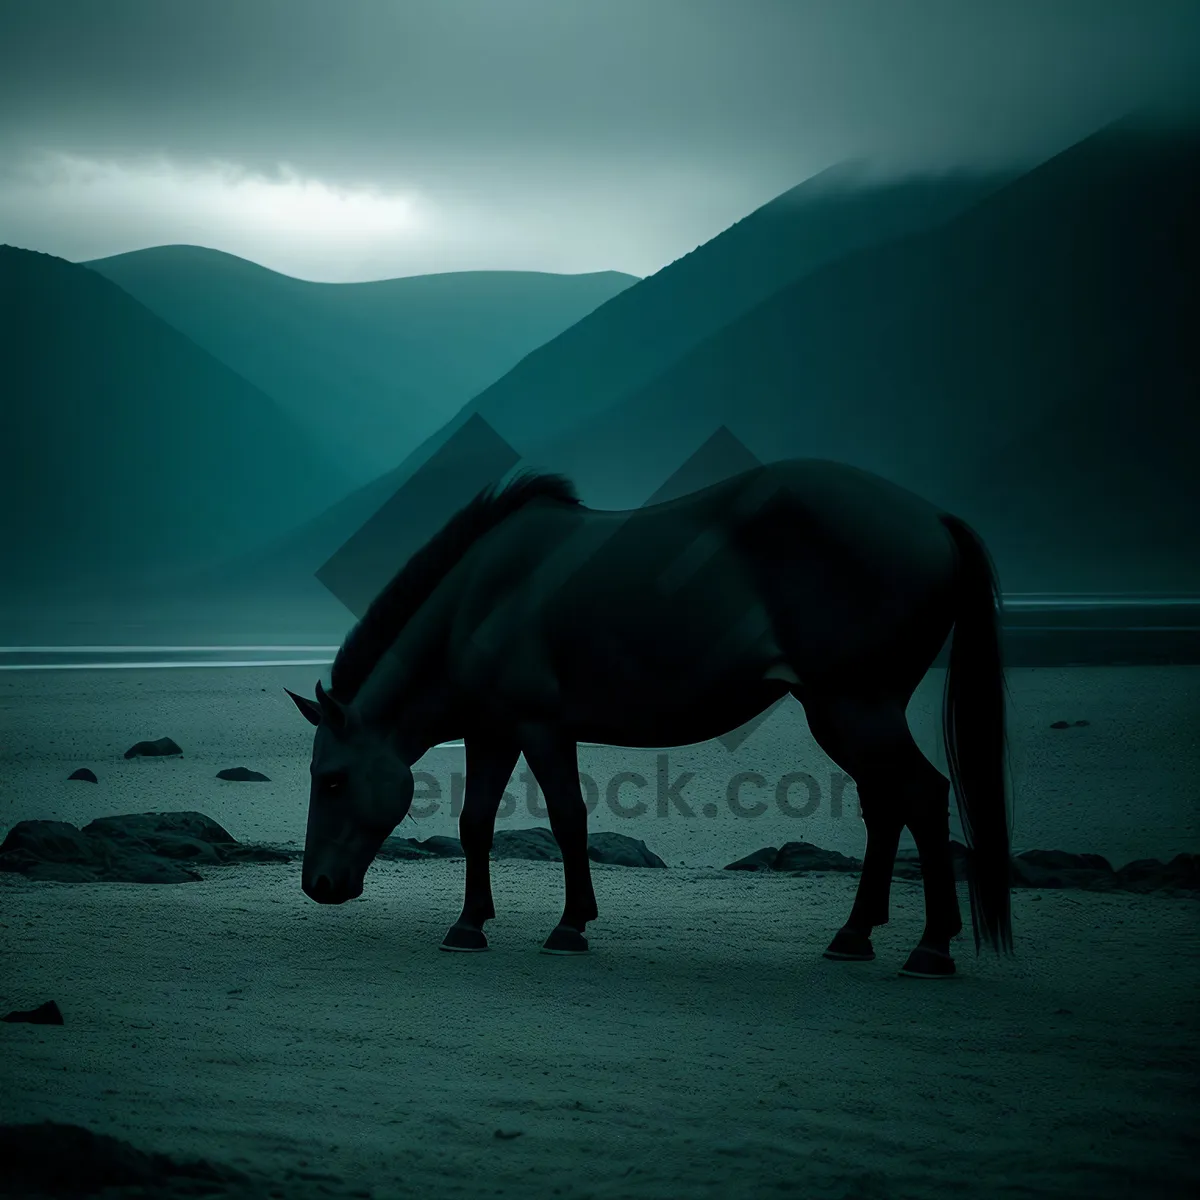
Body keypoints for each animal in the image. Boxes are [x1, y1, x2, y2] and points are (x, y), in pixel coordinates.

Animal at [290, 458, 1012, 974]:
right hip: (843, 715)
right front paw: (469, 925)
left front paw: (571, 925)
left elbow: (568, 819)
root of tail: (932, 517)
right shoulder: (492, 732)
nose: (318, 885)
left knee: (923, 796)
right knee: (888, 806)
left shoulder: (540, 729)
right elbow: (475, 825)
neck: (479, 600)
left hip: (854, 708)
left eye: (332, 779)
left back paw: (932, 948)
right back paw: (855, 935)